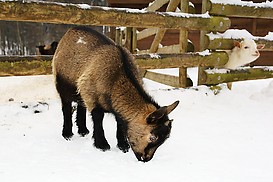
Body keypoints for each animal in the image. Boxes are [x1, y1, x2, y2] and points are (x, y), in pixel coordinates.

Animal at [52, 26, 178, 162]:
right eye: (153, 137)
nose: (145, 159)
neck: (116, 79)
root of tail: (72, 29)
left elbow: (119, 122)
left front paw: (123, 145)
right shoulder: (92, 93)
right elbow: (98, 117)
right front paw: (102, 145)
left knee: (81, 105)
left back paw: (83, 130)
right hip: (61, 81)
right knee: (66, 107)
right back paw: (67, 134)